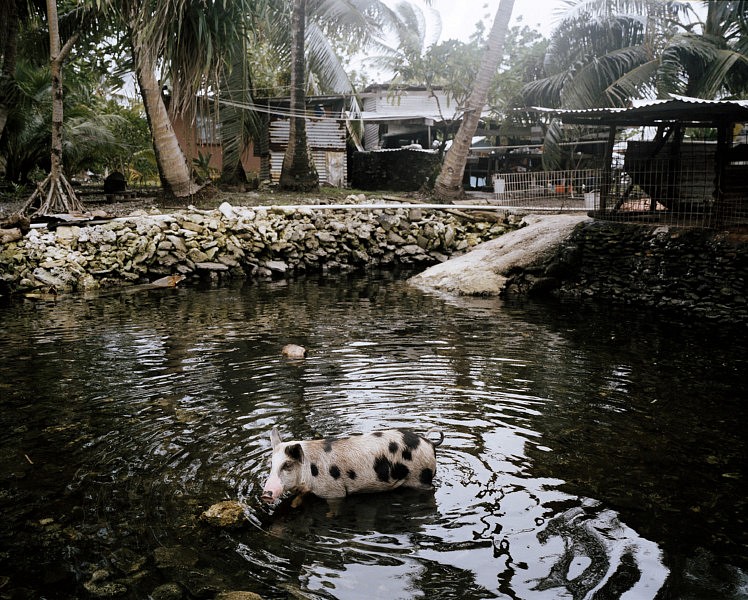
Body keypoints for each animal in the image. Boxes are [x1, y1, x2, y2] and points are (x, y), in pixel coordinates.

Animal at [262, 424, 444, 504]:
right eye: (271, 464)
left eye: (287, 465)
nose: (266, 494)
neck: (311, 471)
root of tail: (429, 442)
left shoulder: (334, 492)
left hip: (421, 478)